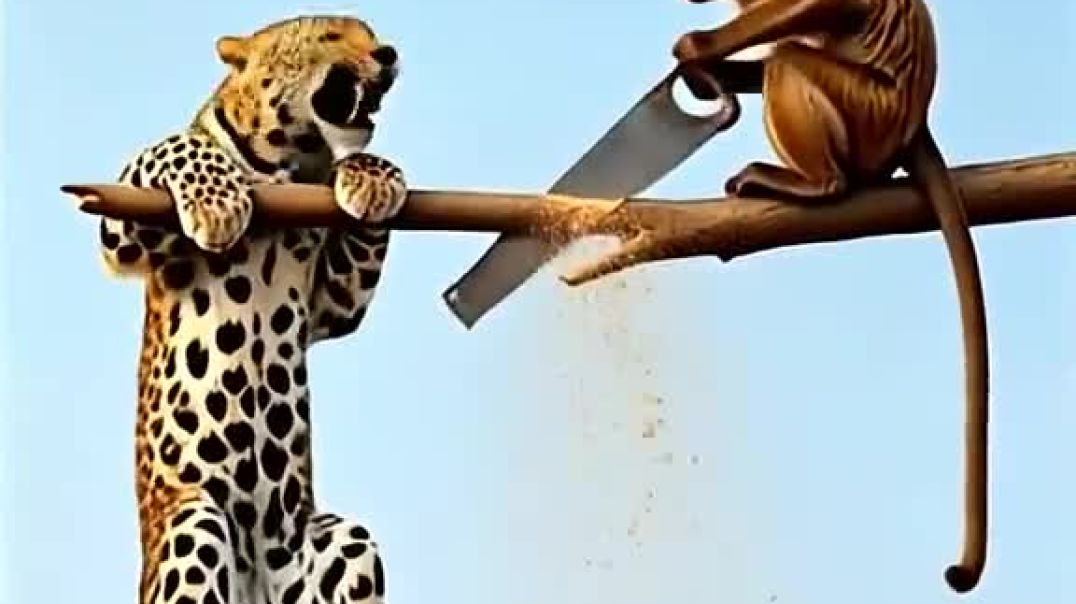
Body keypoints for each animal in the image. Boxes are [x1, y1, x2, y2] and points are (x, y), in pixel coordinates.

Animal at [98, 15, 407, 604]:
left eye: (371, 32)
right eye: (331, 36)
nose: (389, 54)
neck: (293, 158)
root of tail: (254, 585)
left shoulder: (332, 302)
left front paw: (375, 178)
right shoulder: (124, 229)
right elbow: (180, 145)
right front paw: (219, 204)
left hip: (341, 541)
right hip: (192, 519)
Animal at [672, 0, 989, 593]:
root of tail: (912, 126)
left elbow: (823, 10)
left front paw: (699, 47)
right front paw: (715, 74)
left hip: (869, 114)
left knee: (792, 62)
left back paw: (817, 185)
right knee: (786, 57)